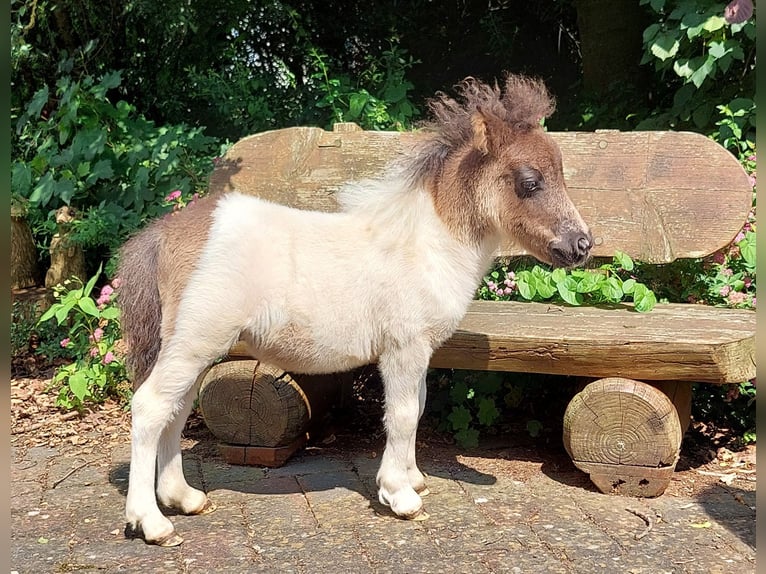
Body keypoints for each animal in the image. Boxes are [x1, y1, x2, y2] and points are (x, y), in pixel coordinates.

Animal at [117, 74, 592, 548]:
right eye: (529, 181)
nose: (581, 245)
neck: (425, 243)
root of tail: (165, 231)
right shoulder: (404, 348)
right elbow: (402, 413)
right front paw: (399, 495)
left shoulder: (419, 351)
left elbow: (417, 406)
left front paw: (413, 478)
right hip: (194, 343)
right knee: (151, 408)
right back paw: (152, 522)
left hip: (193, 347)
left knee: (177, 410)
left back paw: (183, 497)